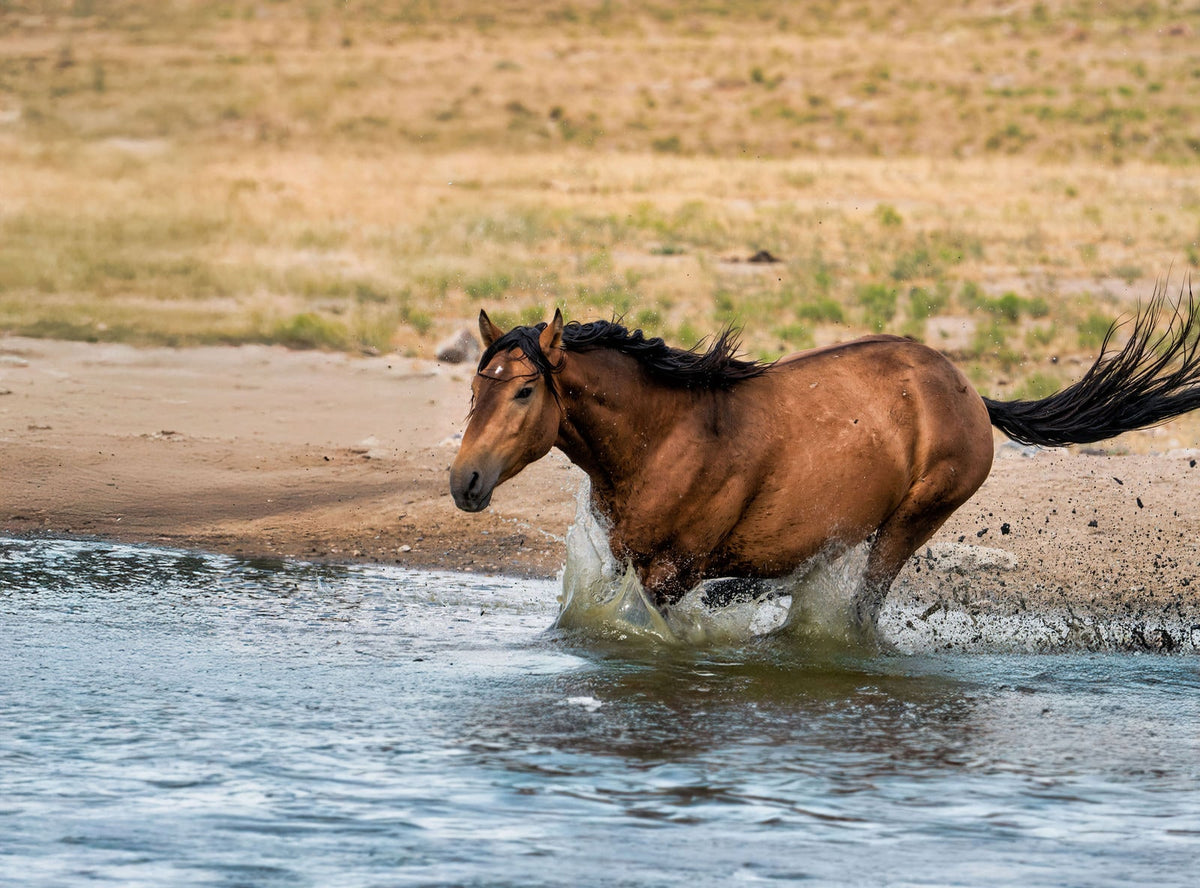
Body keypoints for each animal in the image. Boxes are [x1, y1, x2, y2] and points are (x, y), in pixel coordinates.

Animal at [450, 285, 1200, 629]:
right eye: (475, 387)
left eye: (524, 390)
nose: (465, 482)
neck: (667, 436)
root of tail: (968, 391)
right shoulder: (622, 559)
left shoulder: (670, 571)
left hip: (908, 524)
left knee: (861, 609)